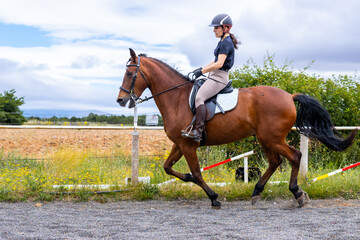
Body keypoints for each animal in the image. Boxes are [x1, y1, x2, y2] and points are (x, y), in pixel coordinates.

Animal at [117, 48, 358, 208]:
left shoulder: (188, 145)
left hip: (272, 138)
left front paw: (213, 197)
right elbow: (168, 168)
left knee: (295, 156)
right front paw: (187, 178)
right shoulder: (180, 143)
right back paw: (257, 191)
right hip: (265, 138)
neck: (176, 98)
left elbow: (197, 172)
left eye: (129, 74)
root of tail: (290, 96)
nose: (120, 100)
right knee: (275, 161)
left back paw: (297, 193)